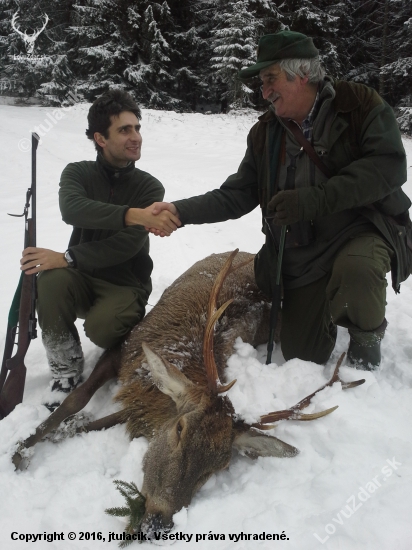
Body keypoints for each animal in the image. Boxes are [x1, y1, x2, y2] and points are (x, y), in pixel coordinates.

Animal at [10, 251, 364, 540]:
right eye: (180, 429)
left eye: (220, 465)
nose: (158, 522)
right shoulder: (124, 350)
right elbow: (77, 400)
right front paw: (21, 450)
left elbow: (95, 422)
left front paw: (58, 434)